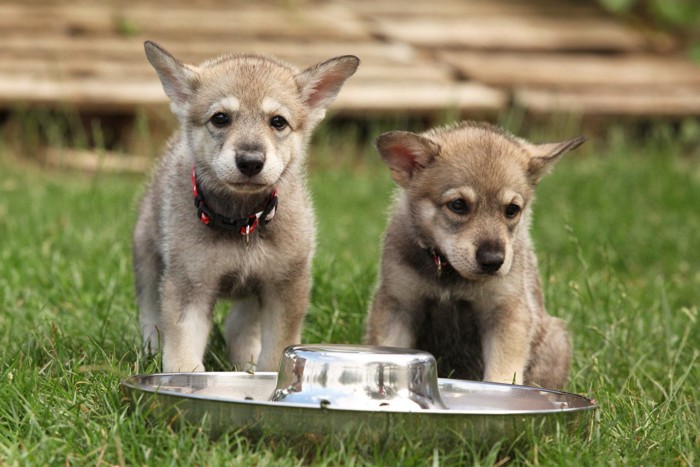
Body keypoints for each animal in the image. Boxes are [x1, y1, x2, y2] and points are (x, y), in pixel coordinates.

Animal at [364, 120, 584, 388]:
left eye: (512, 209)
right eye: (458, 205)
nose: (493, 261)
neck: (449, 276)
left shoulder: (506, 311)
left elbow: (503, 371)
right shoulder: (398, 304)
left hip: (555, 340)